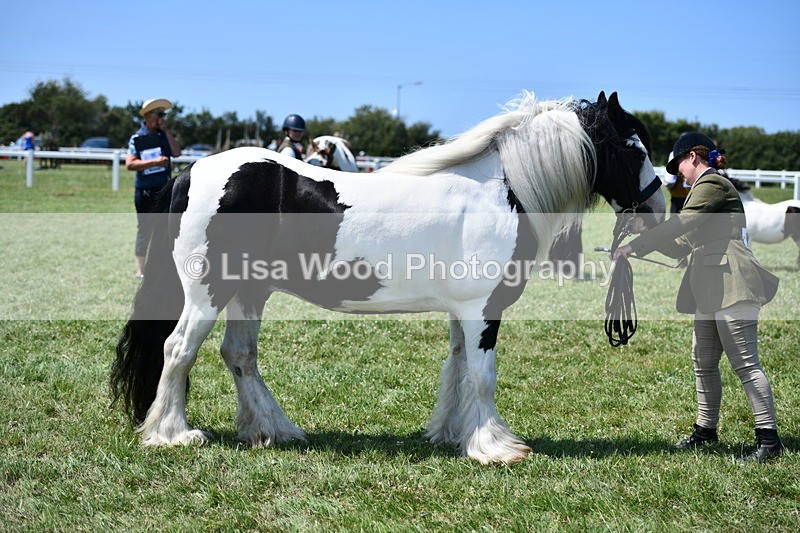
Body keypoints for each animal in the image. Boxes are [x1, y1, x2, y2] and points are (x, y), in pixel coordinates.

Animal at [110, 91, 665, 465]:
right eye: (635, 150)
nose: (658, 209)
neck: (501, 191)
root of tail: (191, 172)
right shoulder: (482, 309)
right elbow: (482, 376)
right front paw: (496, 447)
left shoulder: (462, 311)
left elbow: (456, 368)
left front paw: (453, 434)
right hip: (207, 293)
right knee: (179, 350)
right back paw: (172, 434)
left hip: (250, 290)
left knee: (239, 355)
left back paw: (273, 430)